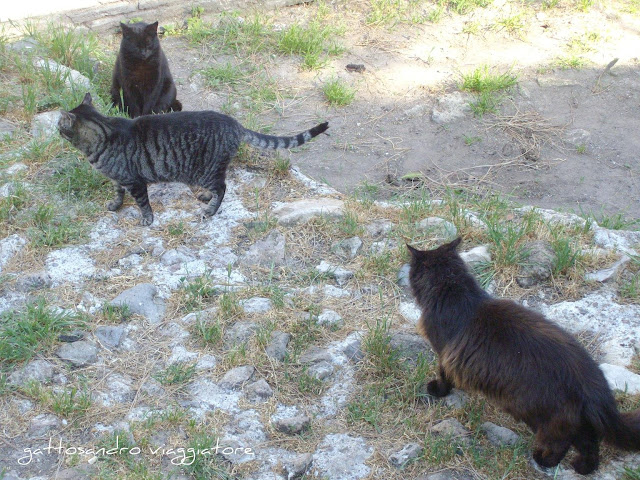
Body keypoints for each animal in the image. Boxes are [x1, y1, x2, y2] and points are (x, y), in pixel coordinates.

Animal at [58, 95, 330, 227]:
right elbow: (117, 193)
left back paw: (209, 210)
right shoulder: (118, 179)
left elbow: (143, 203)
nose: (55, 127)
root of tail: (235, 124)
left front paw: (146, 219)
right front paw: (115, 205)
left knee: (223, 188)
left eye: (60, 124)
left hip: (205, 171)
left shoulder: (134, 181)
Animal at [408, 238, 640, 474]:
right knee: (590, 443)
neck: (453, 292)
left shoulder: (444, 353)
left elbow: (444, 376)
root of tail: (593, 382)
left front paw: (437, 390)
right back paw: (583, 467)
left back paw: (544, 460)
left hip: (537, 413)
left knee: (563, 442)